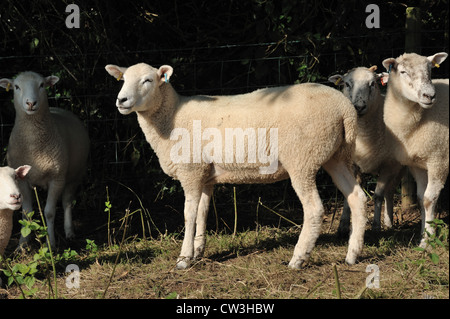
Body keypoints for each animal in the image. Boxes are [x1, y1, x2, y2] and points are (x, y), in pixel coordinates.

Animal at [0, 71, 90, 249]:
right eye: (16, 86)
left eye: (42, 85)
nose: (30, 103)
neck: (34, 147)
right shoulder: (22, 181)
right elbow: (27, 212)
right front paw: (22, 244)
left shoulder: (57, 178)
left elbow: (49, 212)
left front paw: (51, 244)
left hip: (75, 175)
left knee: (67, 202)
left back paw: (69, 231)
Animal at [107, 62, 368, 270]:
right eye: (123, 79)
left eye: (148, 80)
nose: (121, 100)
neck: (172, 117)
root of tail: (345, 109)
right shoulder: (205, 174)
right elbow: (202, 211)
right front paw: (198, 251)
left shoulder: (191, 170)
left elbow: (189, 214)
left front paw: (184, 258)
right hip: (336, 155)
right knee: (357, 197)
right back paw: (352, 255)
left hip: (302, 158)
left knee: (314, 209)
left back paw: (298, 258)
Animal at [328, 67, 402, 232]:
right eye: (347, 84)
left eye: (372, 83)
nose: (359, 107)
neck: (364, 136)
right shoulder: (351, 163)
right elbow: (349, 193)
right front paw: (343, 225)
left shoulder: (388, 165)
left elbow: (378, 195)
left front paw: (376, 227)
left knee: (390, 191)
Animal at [382, 52, 448, 248]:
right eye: (403, 71)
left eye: (430, 70)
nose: (430, 95)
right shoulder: (417, 164)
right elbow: (419, 198)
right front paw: (423, 234)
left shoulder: (439, 160)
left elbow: (428, 199)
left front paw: (428, 240)